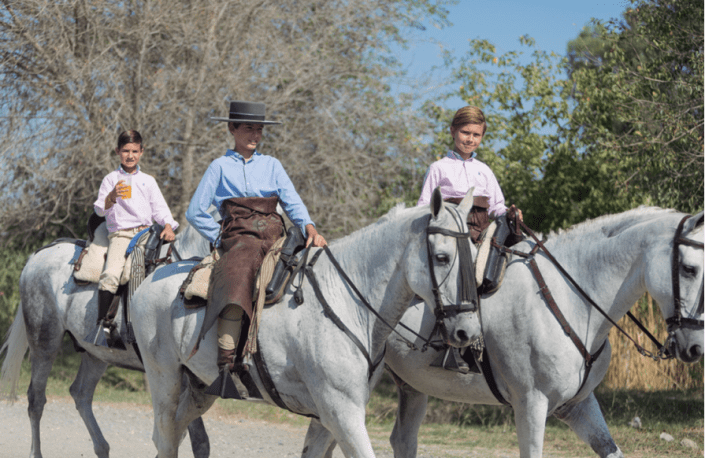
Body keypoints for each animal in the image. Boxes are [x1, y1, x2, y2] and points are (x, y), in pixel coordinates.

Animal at [1, 215, 213, 458]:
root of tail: (40, 254)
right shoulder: (179, 376)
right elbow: (194, 440)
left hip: (97, 354)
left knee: (80, 394)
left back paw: (102, 447)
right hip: (44, 342)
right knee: (36, 401)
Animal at [126, 188, 478, 456]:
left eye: (474, 256)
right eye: (442, 258)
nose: (468, 331)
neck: (348, 302)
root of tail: (151, 278)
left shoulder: (329, 417)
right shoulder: (342, 412)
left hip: (199, 388)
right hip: (164, 380)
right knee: (167, 435)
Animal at [302, 207, 700, 458]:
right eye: (691, 268)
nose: (695, 347)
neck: (572, 297)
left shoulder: (578, 405)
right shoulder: (531, 403)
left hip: (410, 388)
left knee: (400, 440)